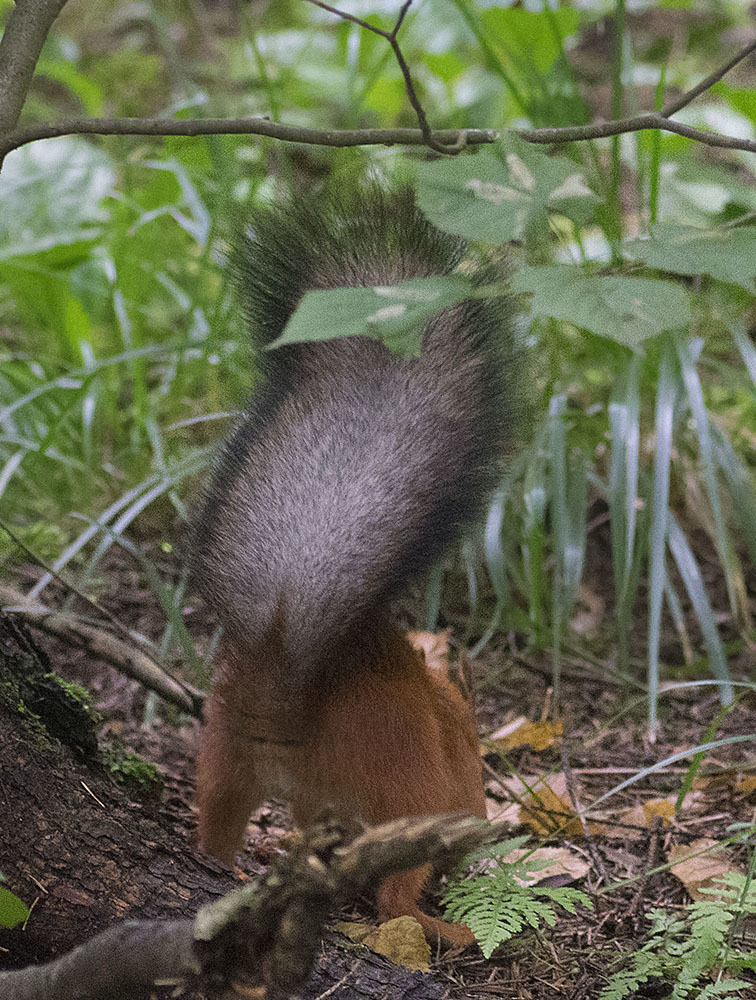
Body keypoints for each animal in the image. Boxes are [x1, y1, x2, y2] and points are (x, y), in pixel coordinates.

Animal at [192, 186, 524, 944]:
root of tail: (283, 688)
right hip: (408, 791)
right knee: (395, 894)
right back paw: (436, 927)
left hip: (226, 751)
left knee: (220, 823)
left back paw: (230, 866)